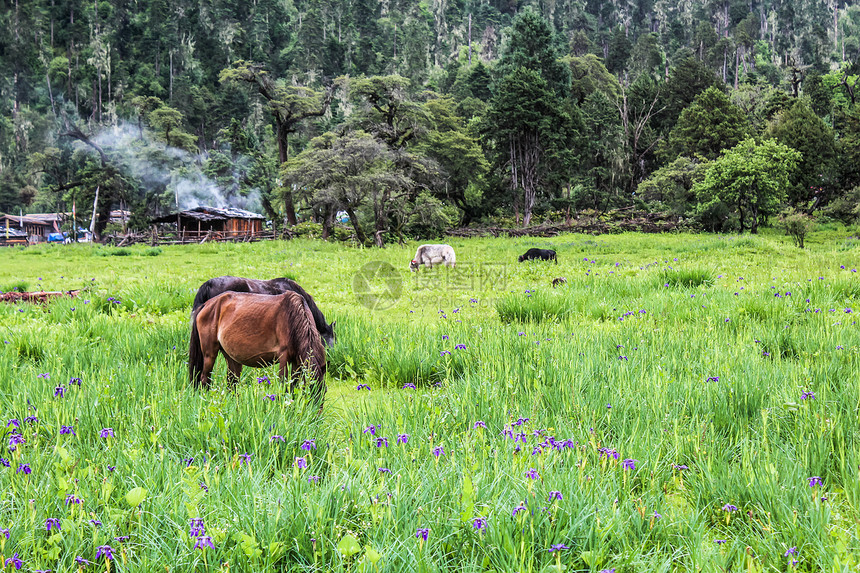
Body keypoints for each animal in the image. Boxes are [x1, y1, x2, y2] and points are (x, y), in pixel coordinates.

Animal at [188, 290, 326, 402]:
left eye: (324, 393)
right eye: (311, 393)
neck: (292, 318)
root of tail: (206, 305)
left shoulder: (297, 361)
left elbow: (292, 387)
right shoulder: (284, 357)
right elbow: (284, 385)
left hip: (231, 358)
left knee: (232, 383)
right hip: (209, 354)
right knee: (205, 379)